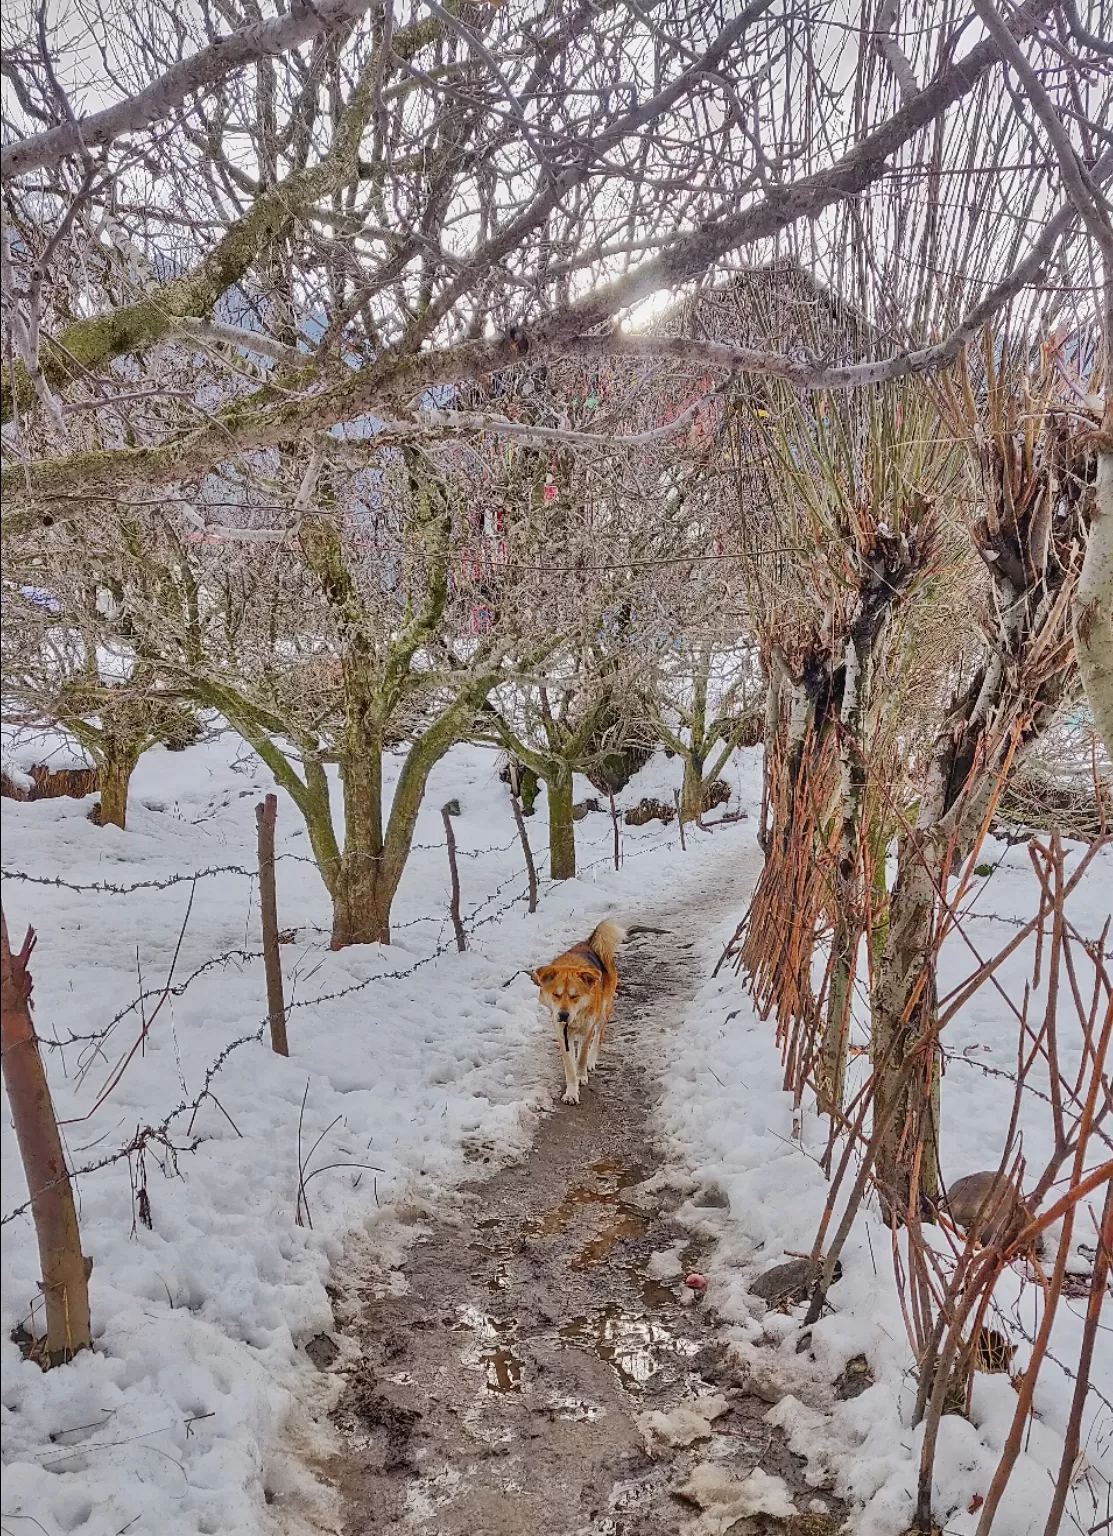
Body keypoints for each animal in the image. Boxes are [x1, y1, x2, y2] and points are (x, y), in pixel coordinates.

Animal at [531, 921, 626, 1105]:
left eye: (575, 996)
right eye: (556, 994)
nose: (563, 1015)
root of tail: (589, 943)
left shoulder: (587, 1029)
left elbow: (582, 1056)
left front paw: (581, 1075)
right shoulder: (562, 1034)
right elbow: (569, 1066)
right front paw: (571, 1091)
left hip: (603, 1012)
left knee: (598, 1037)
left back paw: (591, 1060)